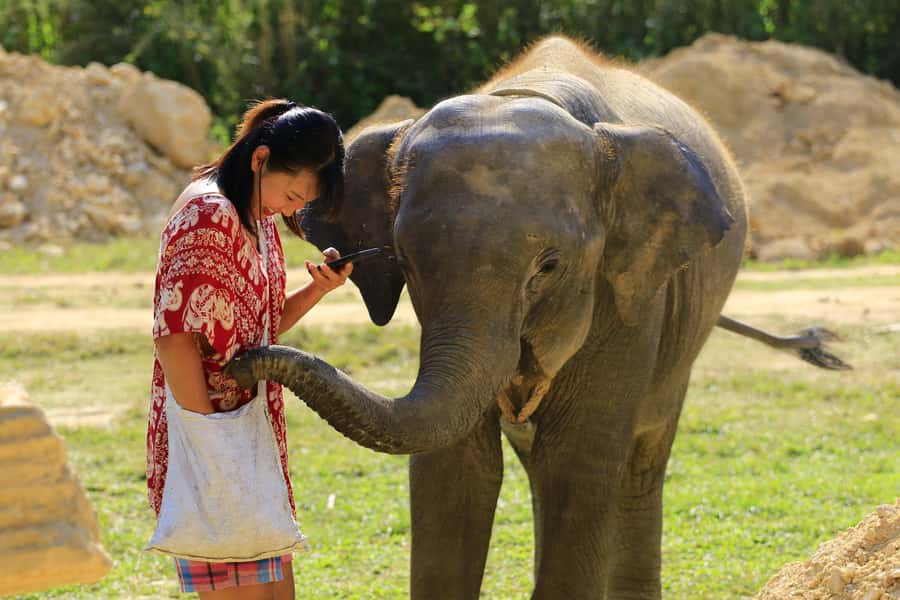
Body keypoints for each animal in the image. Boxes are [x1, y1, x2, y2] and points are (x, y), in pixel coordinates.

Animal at [227, 36, 847, 599]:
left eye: (548, 267)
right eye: (405, 261)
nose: (241, 362)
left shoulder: (631, 296)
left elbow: (578, 467)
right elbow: (453, 474)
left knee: (638, 465)